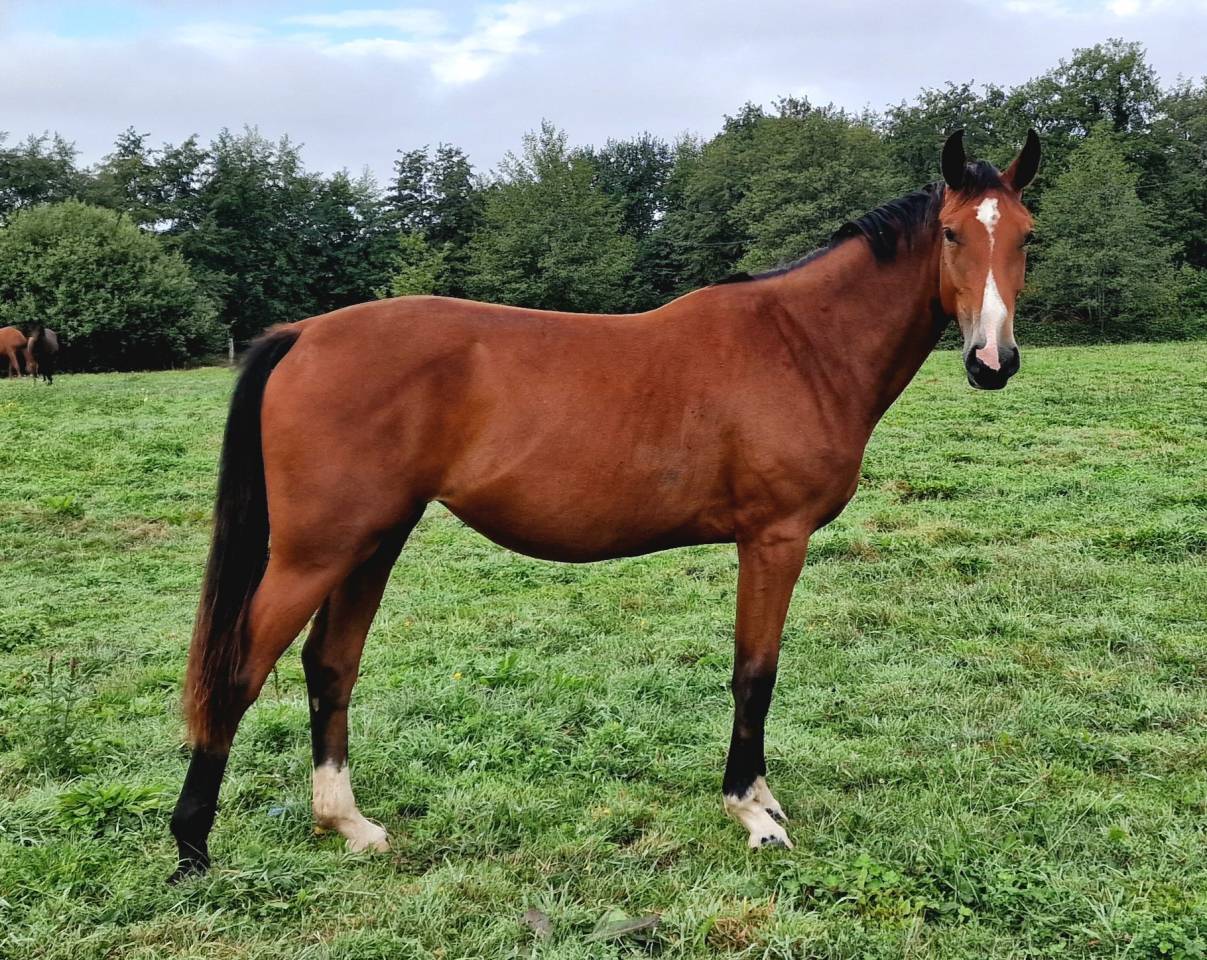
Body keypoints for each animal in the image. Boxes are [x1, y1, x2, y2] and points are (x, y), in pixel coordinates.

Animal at [170, 129, 1040, 881]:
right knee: (240, 672)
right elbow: (753, 672)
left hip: (372, 541)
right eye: (953, 234)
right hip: (316, 552)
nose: (990, 361)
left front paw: (758, 799)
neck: (801, 346)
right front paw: (750, 811)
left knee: (329, 666)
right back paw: (191, 848)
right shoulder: (773, 539)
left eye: (1026, 237)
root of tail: (303, 334)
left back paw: (347, 824)